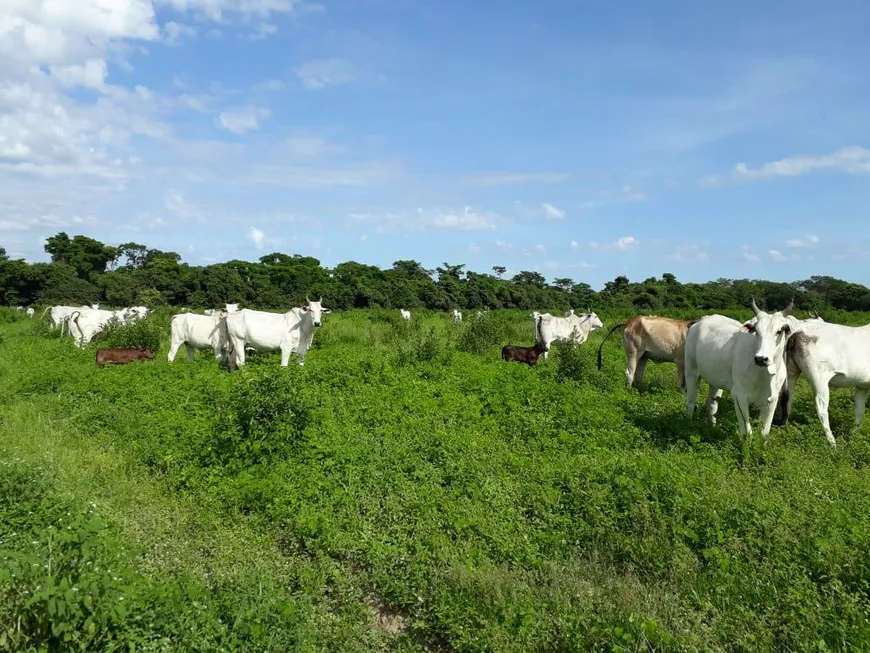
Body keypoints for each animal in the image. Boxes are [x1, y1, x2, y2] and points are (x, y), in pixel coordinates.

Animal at [688, 300, 804, 440]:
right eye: (756, 331)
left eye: (779, 331)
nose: (761, 359)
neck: (763, 375)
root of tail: (702, 320)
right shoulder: (739, 396)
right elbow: (747, 433)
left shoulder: (772, 399)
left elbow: (764, 433)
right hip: (691, 371)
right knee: (690, 402)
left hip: (715, 381)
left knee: (712, 404)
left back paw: (712, 428)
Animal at [776, 318, 870, 448]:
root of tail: (798, 331)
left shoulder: (862, 385)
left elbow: (860, 410)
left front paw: (854, 436)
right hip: (819, 379)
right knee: (821, 409)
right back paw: (833, 444)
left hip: (790, 372)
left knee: (786, 400)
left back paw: (784, 429)